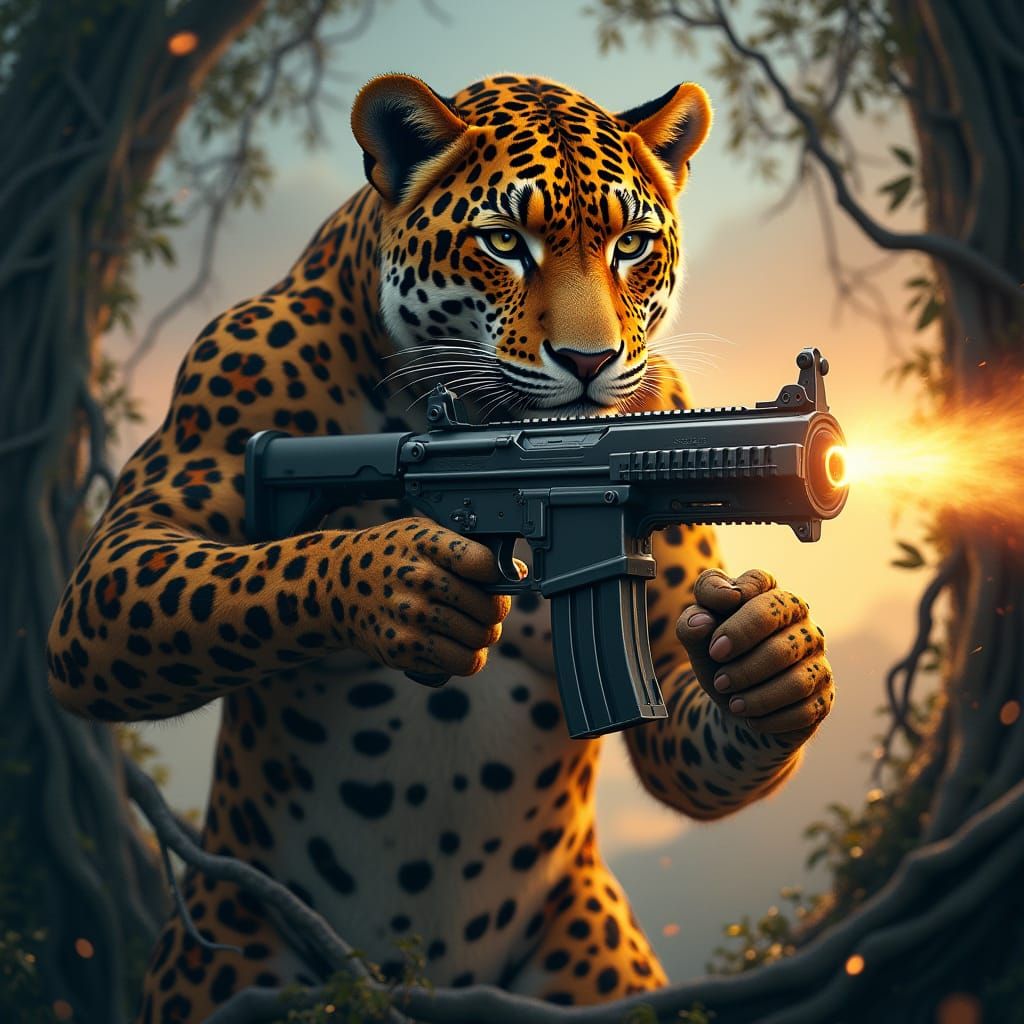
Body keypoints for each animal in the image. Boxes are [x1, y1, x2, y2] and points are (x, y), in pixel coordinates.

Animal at [48, 72, 835, 1022]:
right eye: (503, 243)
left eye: (632, 246)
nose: (590, 361)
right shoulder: (188, 439)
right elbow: (141, 576)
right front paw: (398, 582)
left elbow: (682, 702)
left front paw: (772, 656)